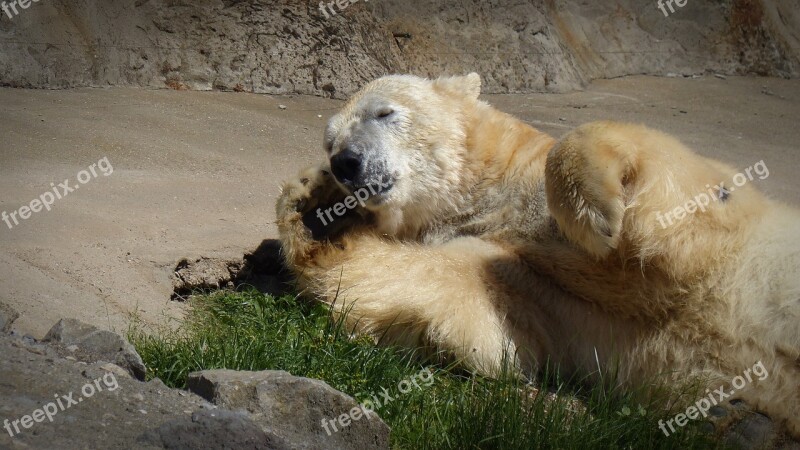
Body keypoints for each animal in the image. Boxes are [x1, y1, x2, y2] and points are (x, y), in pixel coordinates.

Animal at [276, 73, 800, 436]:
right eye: (329, 142)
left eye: (384, 112)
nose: (345, 163)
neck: (494, 192)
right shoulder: (519, 273)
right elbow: (462, 308)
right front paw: (315, 207)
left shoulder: (726, 214)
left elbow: (679, 181)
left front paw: (599, 216)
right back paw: (740, 421)